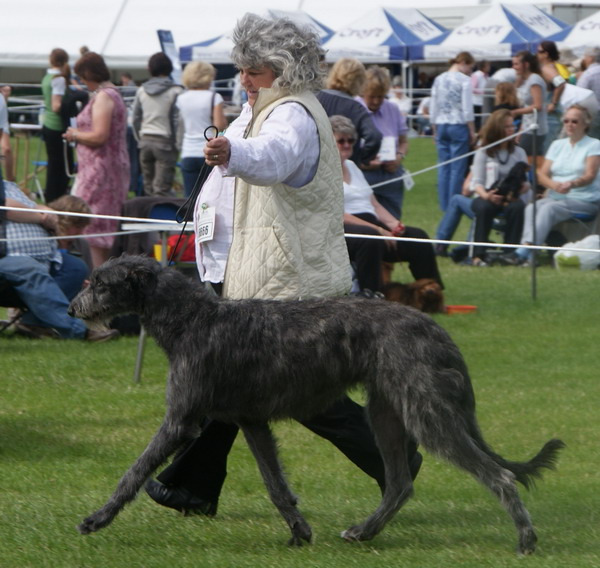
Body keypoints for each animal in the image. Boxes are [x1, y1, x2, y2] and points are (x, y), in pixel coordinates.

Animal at [68, 255, 564, 552]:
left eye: (99, 282)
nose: (74, 309)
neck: (193, 319)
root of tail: (436, 328)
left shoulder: (181, 419)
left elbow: (134, 471)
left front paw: (97, 518)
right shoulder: (251, 420)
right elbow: (275, 484)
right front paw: (299, 531)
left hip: (426, 411)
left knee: (498, 476)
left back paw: (525, 538)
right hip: (386, 411)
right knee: (400, 482)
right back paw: (364, 529)